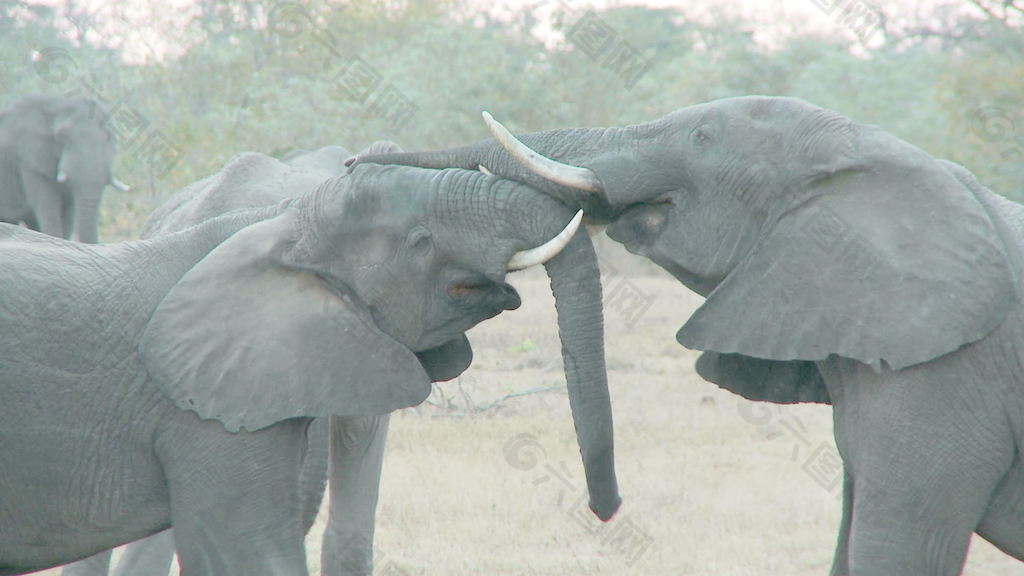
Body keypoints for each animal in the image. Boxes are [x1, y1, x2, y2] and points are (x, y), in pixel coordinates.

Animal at [0, 93, 130, 239]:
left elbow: (68, 212)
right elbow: (48, 206)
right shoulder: (29, 162)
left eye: (108, 136)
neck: (56, 104)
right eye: (61, 137)